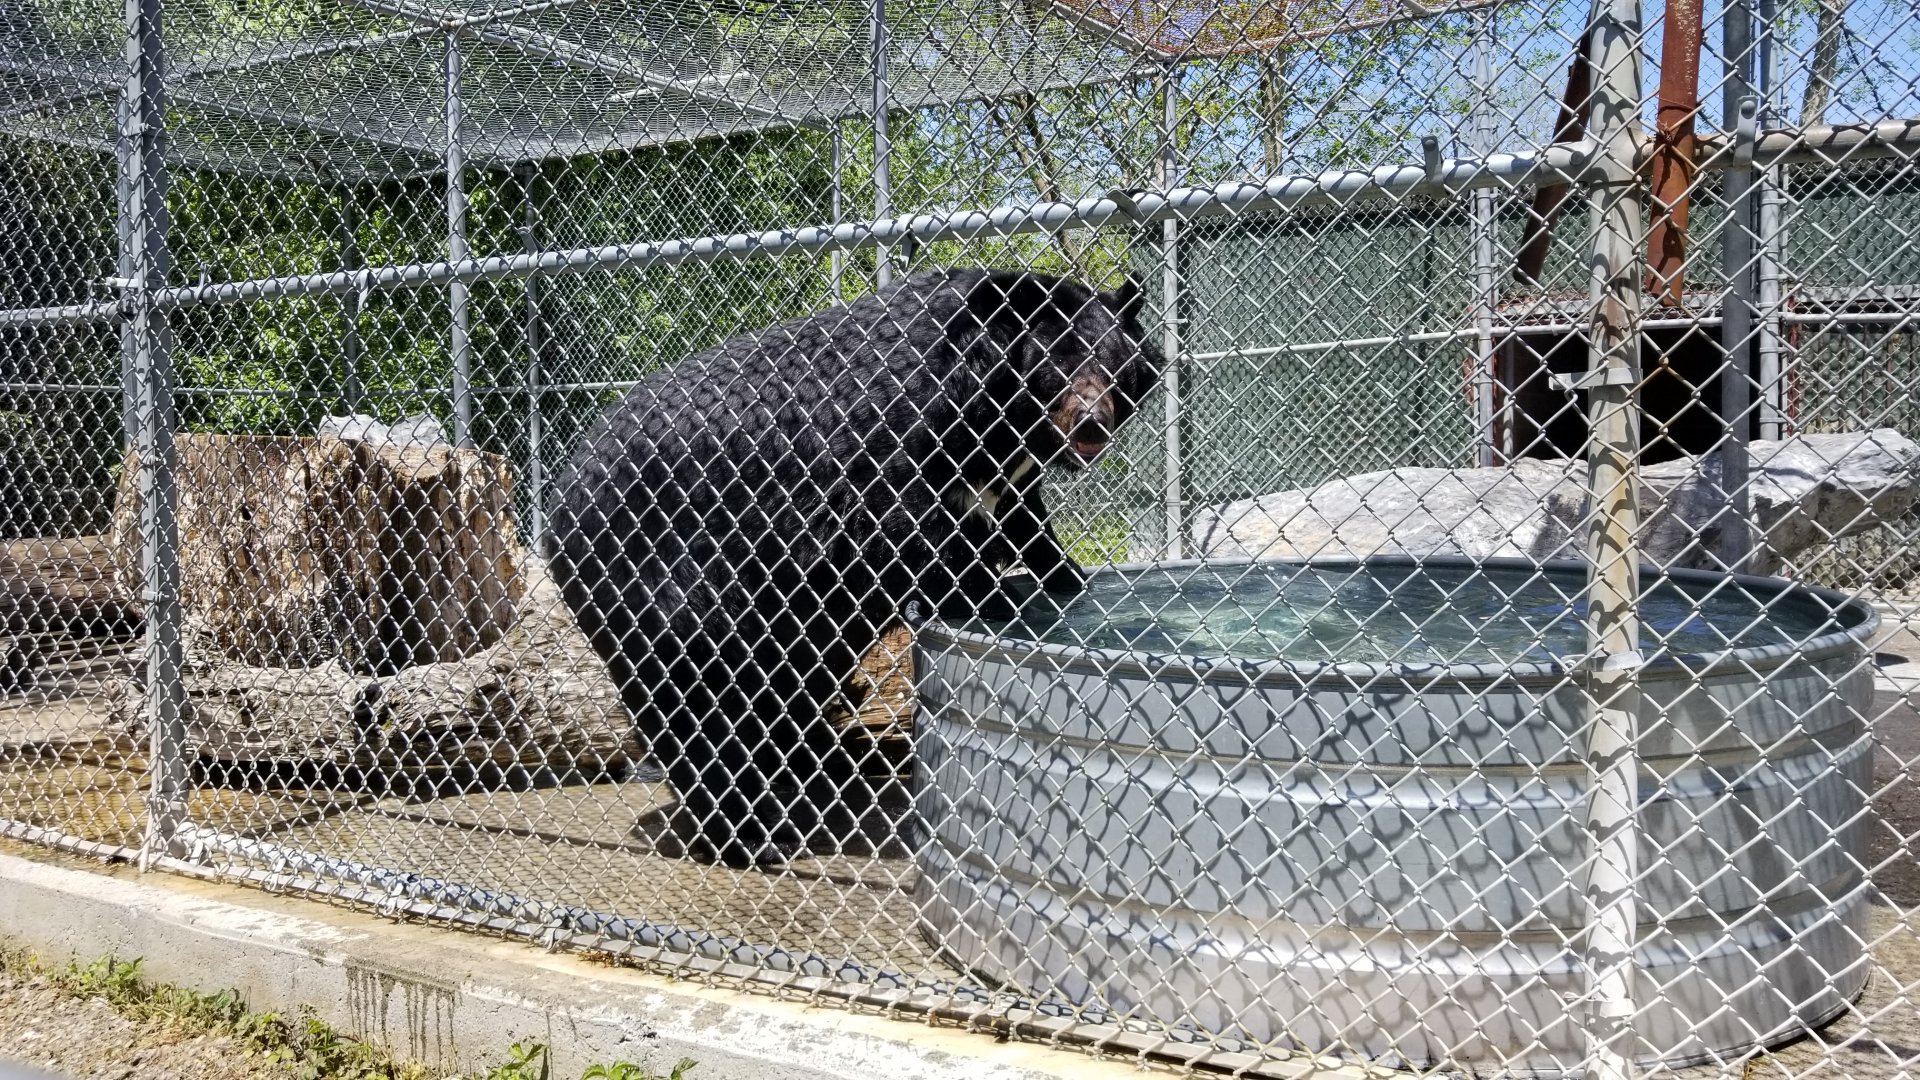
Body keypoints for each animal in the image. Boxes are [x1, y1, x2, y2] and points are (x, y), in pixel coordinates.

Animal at [545, 267, 1165, 867]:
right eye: (1056, 366)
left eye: (1115, 367)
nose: (1091, 423)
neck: (988, 410)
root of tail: (561, 497)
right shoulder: (889, 435)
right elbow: (906, 526)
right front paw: (990, 593)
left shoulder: (1000, 464)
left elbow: (1021, 512)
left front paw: (1064, 575)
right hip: (660, 572)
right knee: (700, 699)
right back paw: (754, 836)